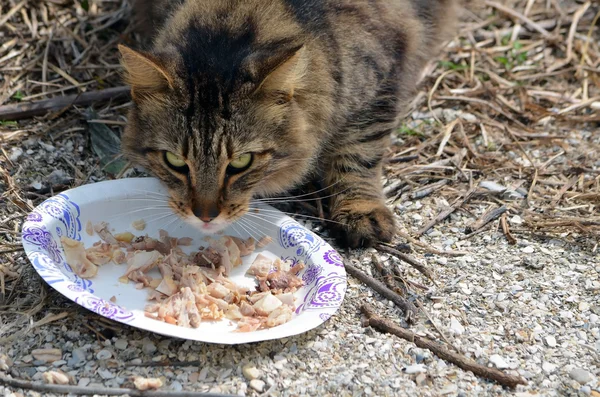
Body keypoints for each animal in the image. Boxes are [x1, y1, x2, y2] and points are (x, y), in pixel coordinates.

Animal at [119, 0, 460, 248]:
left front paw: (360, 211)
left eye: (241, 162)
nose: (205, 217)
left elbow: (360, 152)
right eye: (174, 161)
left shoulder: (383, 79)